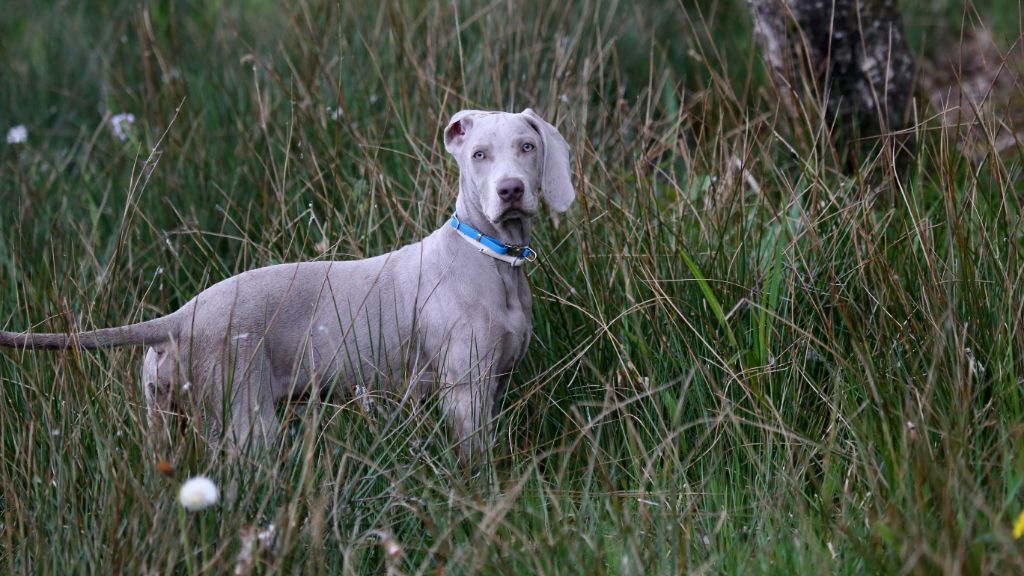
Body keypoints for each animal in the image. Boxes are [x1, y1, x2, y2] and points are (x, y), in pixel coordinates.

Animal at [0, 107, 577, 459]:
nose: (510, 190)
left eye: (527, 146)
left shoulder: (494, 383)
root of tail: (180, 317)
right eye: (479, 154)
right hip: (244, 416)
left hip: (164, 418)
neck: (493, 257)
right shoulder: (464, 391)